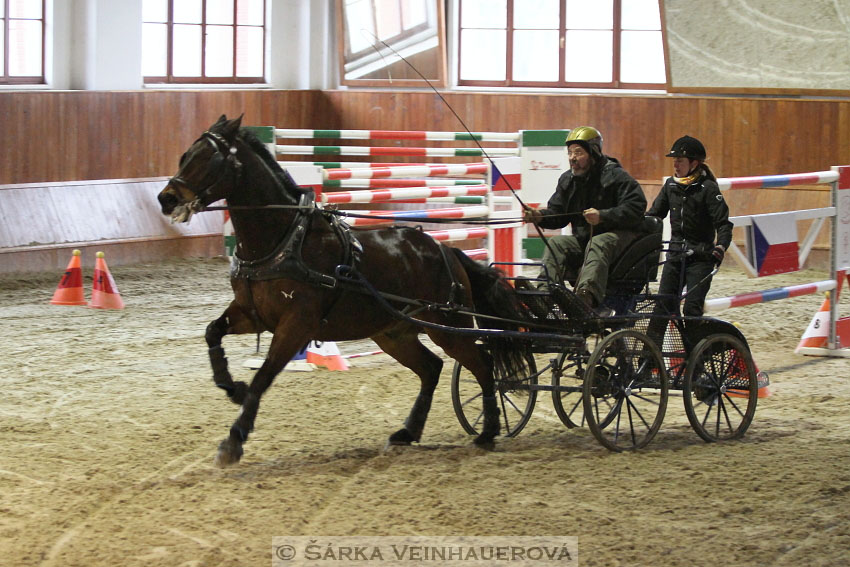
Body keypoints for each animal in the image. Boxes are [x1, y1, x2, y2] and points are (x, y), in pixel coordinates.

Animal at [157, 115, 528, 466]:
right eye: (185, 155)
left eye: (208, 158)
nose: (166, 198)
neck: (284, 240)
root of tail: (445, 250)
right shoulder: (251, 314)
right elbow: (212, 333)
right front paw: (233, 387)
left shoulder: (296, 325)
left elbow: (264, 376)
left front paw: (233, 441)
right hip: (393, 333)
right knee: (432, 368)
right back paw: (407, 432)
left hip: (447, 327)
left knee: (482, 364)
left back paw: (488, 432)